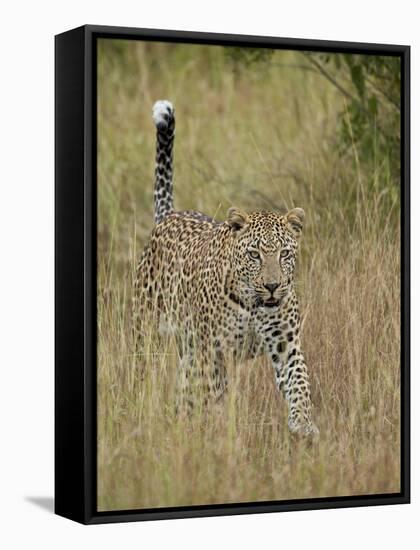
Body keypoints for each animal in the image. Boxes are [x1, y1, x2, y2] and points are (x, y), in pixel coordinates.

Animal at [135, 98, 318, 436]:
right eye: (254, 254)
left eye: (285, 253)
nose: (272, 286)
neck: (254, 305)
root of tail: (168, 216)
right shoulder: (214, 351)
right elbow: (213, 393)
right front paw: (218, 428)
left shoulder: (286, 344)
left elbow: (299, 382)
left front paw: (303, 424)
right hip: (149, 329)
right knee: (148, 368)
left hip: (189, 349)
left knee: (185, 388)